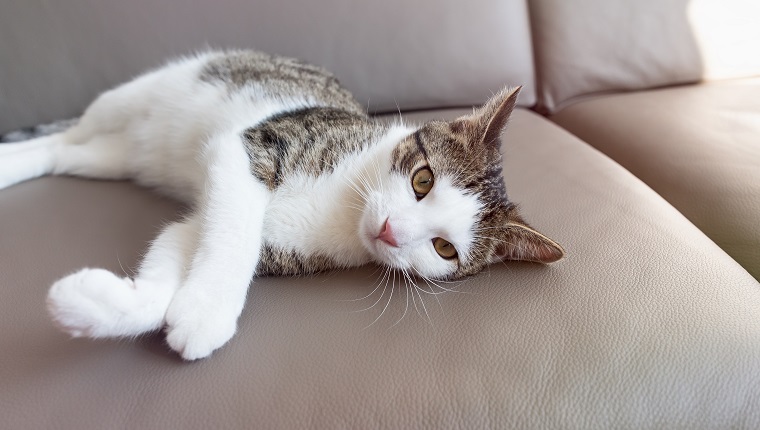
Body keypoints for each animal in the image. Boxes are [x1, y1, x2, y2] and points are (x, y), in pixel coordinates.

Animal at [0, 49, 564, 360]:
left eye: (445, 249)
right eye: (422, 180)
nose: (390, 230)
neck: (346, 208)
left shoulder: (242, 234)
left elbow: (183, 241)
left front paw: (106, 304)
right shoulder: (253, 146)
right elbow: (232, 233)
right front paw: (207, 312)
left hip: (116, 158)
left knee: (65, 152)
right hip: (142, 92)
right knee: (75, 127)